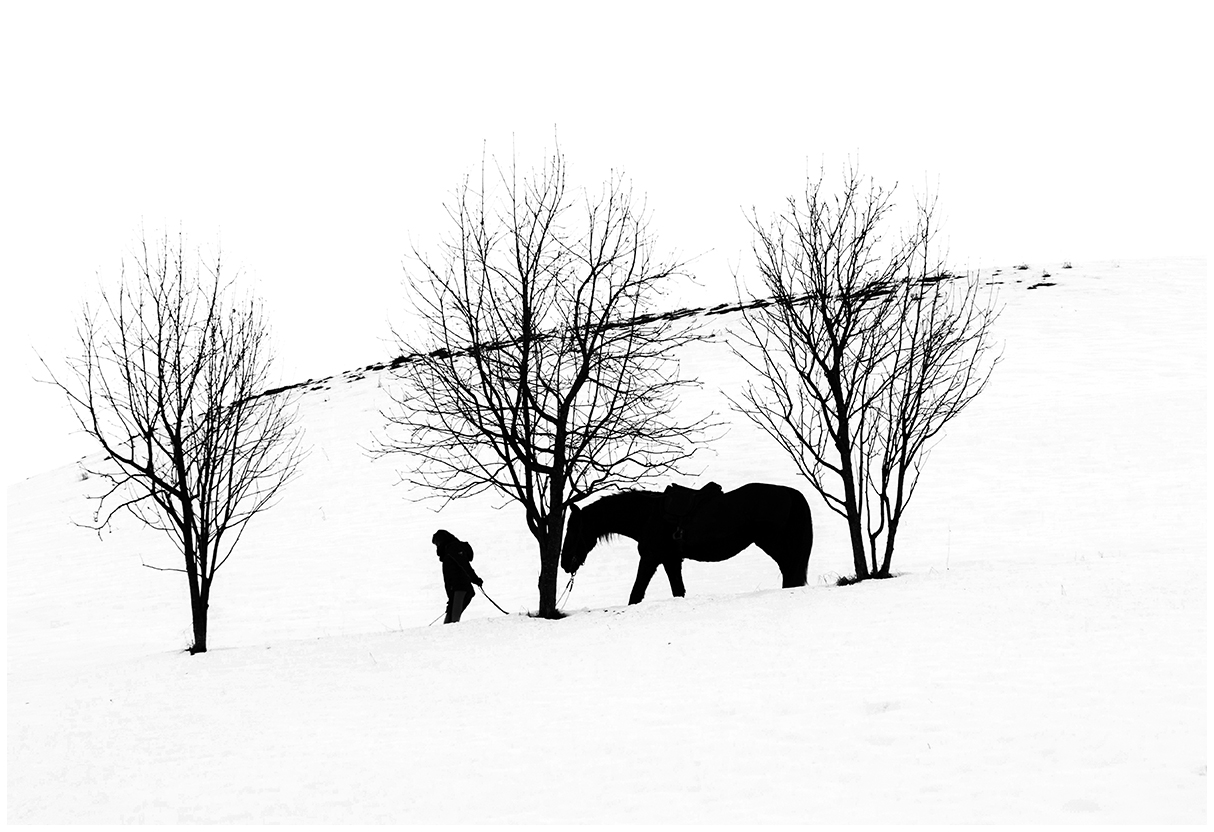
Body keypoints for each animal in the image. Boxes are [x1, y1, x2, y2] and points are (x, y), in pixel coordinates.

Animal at [560, 482, 813, 605]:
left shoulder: (650, 559)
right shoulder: (671, 561)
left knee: (790, 573)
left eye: (572, 529)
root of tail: (790, 493)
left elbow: (636, 594)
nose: (564, 563)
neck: (647, 515)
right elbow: (678, 591)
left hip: (774, 544)